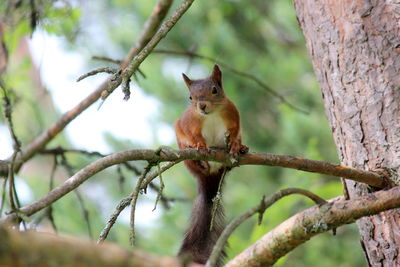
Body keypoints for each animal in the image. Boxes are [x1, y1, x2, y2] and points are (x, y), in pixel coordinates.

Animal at [175, 64, 247, 266]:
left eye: (214, 90)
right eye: (190, 97)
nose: (202, 106)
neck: (212, 115)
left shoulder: (233, 117)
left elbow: (234, 132)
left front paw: (236, 145)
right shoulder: (189, 123)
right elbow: (193, 135)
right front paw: (199, 145)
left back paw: (242, 149)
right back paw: (199, 161)